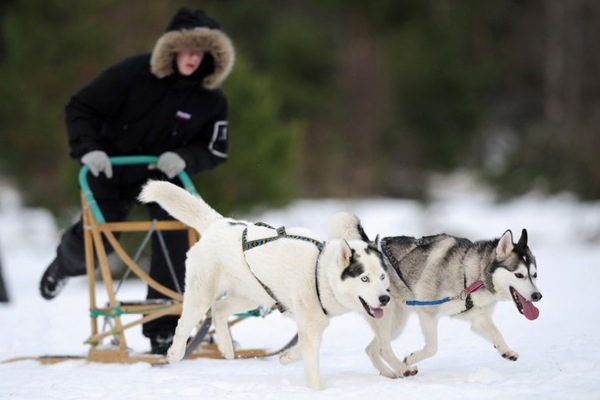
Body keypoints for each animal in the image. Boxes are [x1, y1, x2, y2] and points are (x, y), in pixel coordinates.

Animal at [138, 181, 392, 388]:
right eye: (364, 278)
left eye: (382, 277)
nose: (385, 298)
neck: (319, 272)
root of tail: (220, 223)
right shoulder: (312, 326)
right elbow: (311, 365)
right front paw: (316, 391)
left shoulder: (313, 324)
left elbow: (299, 348)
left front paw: (286, 357)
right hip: (202, 294)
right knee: (184, 324)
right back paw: (174, 353)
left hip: (250, 295)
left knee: (219, 309)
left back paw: (226, 347)